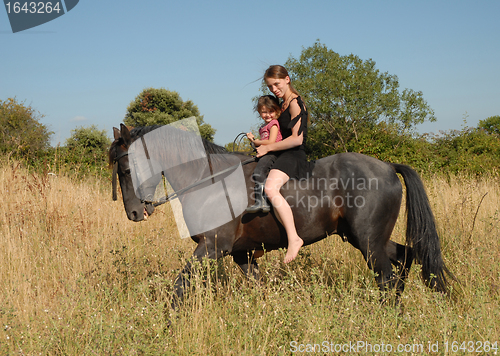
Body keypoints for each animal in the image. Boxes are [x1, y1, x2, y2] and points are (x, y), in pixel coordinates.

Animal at [109, 123, 454, 308]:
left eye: (126, 169)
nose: (134, 213)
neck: (207, 179)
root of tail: (387, 167)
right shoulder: (242, 255)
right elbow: (259, 289)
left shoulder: (211, 248)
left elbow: (179, 286)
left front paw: (168, 323)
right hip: (367, 239)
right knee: (406, 258)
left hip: (368, 242)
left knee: (386, 276)